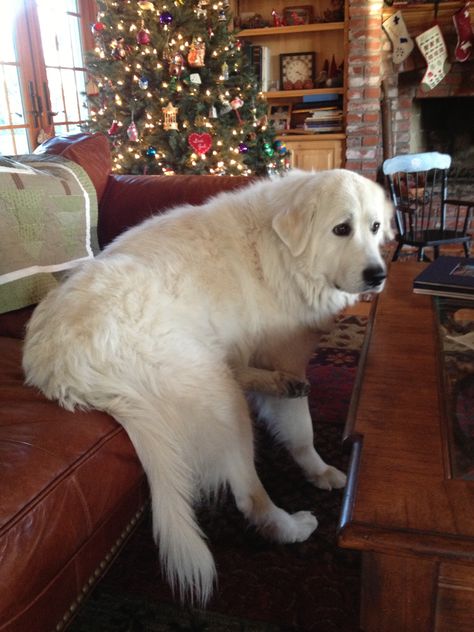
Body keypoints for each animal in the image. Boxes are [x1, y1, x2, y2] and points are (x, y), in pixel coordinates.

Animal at [22, 170, 392, 604]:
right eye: (341, 229)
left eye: (375, 227)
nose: (378, 275)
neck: (279, 252)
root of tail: (63, 368)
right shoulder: (285, 354)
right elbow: (303, 433)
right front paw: (318, 468)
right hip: (218, 393)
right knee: (248, 494)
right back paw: (291, 526)